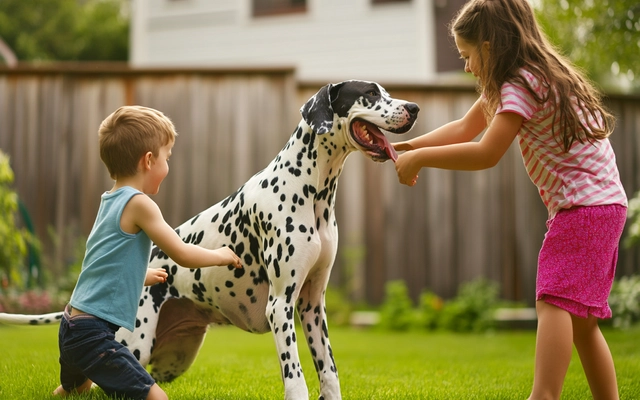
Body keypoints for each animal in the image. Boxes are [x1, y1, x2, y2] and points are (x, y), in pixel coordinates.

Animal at [0, 79, 420, 398]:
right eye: (370, 93)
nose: (414, 107)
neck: (312, 189)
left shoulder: (313, 306)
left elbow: (329, 373)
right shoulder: (281, 306)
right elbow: (295, 378)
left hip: (171, 359)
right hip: (133, 347)